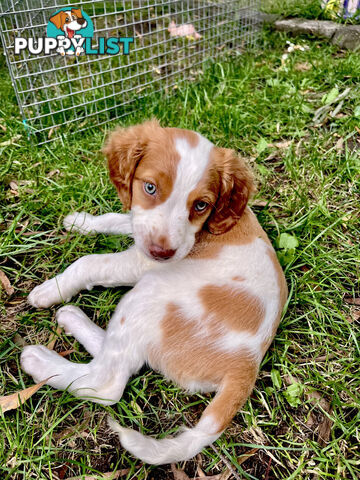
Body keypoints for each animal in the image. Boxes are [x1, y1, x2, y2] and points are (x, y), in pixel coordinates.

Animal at [21, 119, 286, 464]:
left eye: (201, 205)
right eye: (149, 188)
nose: (163, 253)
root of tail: (246, 367)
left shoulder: (143, 263)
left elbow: (90, 262)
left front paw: (51, 289)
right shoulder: (140, 222)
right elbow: (120, 218)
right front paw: (83, 222)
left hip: (150, 293)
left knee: (108, 382)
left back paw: (41, 362)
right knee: (125, 356)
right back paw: (71, 318)